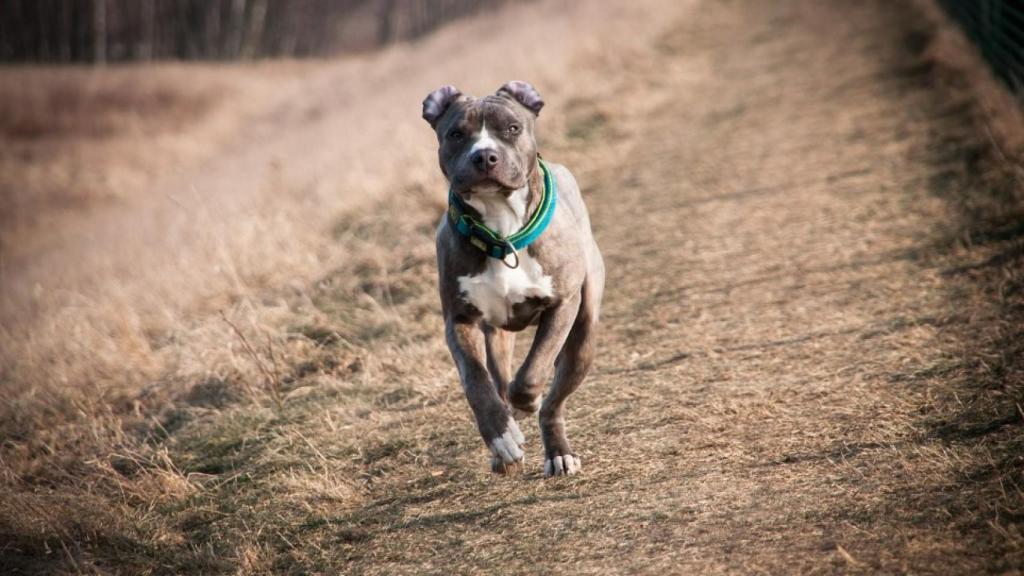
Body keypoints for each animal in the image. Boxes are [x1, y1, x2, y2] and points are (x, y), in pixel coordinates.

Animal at [421, 80, 602, 475]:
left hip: (583, 336)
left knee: (553, 402)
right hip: (498, 335)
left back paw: (558, 452)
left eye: (512, 128)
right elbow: (477, 383)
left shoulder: (562, 305)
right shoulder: (459, 320)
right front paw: (502, 437)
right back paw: (504, 445)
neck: (501, 228)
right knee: (500, 378)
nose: (485, 156)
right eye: (456, 134)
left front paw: (525, 404)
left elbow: (534, 371)